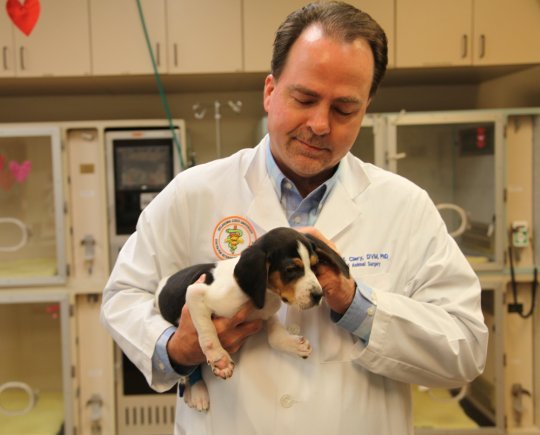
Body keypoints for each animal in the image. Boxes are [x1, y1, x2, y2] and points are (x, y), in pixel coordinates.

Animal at [156, 227, 350, 414]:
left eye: (315, 266)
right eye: (291, 270)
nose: (318, 295)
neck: (263, 294)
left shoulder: (266, 313)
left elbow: (275, 338)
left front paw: (293, 345)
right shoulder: (195, 294)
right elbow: (208, 334)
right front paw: (220, 359)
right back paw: (197, 391)